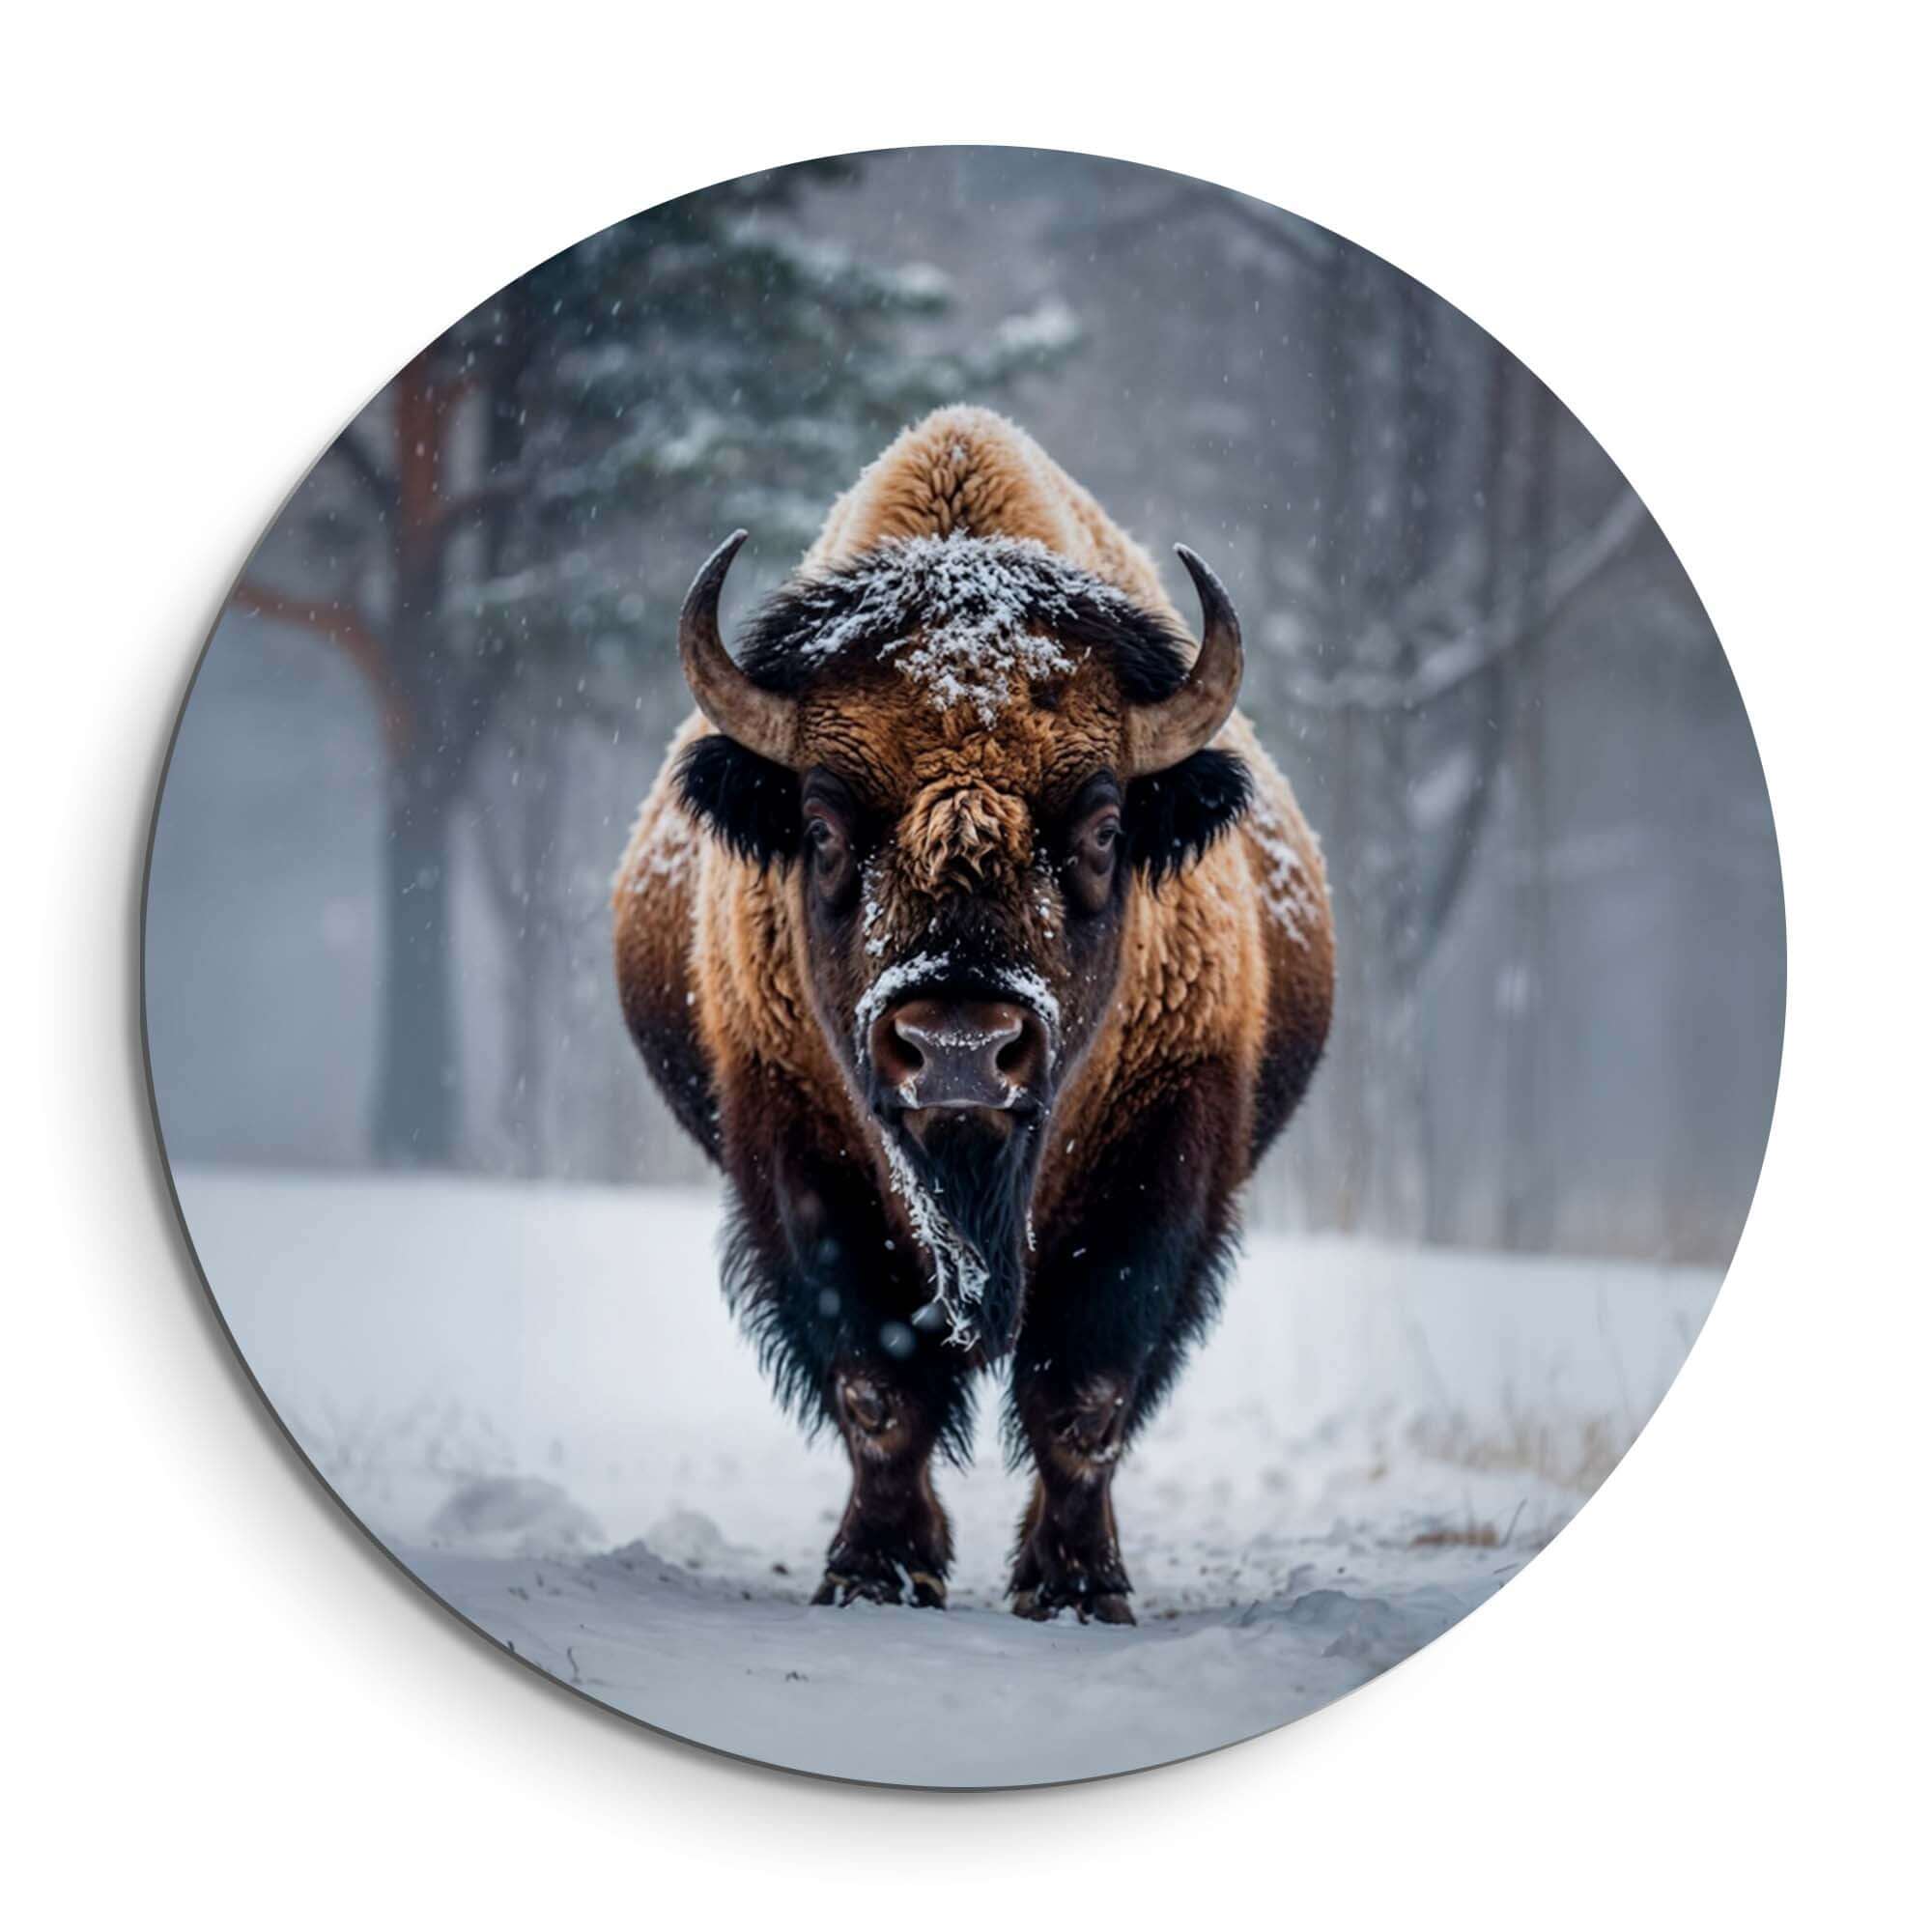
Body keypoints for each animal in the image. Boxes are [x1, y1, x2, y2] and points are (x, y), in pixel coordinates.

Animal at [614, 407, 1333, 1622]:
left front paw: (1078, 1587)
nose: (959, 1048)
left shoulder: (1163, 1155)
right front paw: (875, 1570)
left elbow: (1085, 1393)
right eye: (819, 824)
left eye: (1102, 827)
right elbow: (876, 1387)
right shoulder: (796, 1149)